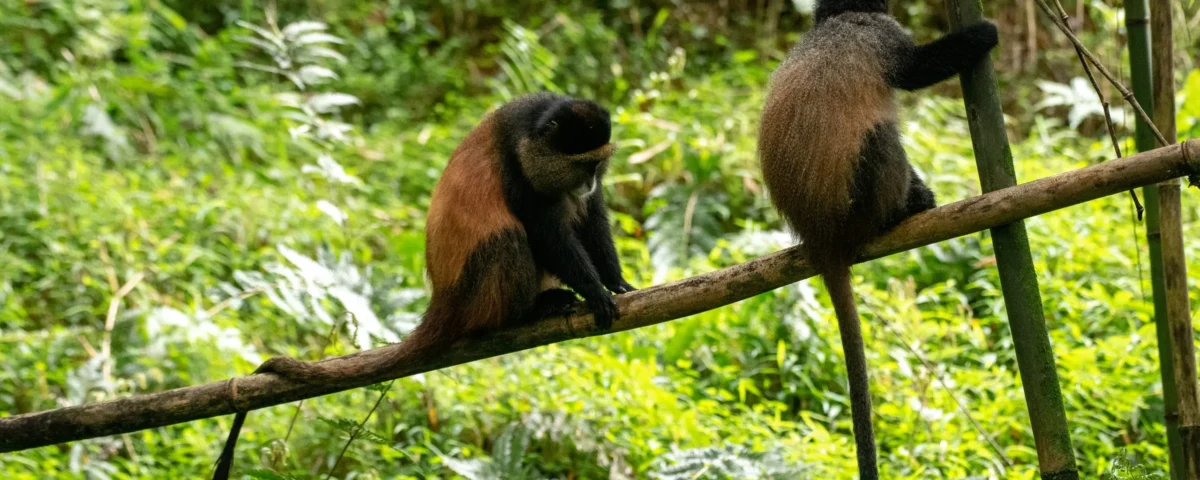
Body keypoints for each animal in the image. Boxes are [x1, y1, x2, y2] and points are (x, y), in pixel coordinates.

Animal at [212, 92, 635, 480]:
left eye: (598, 164)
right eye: (581, 164)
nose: (590, 182)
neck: (533, 131)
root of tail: (443, 299)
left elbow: (592, 217)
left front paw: (617, 284)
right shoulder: (522, 176)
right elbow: (547, 232)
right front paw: (594, 292)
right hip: (478, 289)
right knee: (507, 238)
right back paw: (526, 313)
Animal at [756, 1, 997, 478]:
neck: (840, 19)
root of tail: (820, 236)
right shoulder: (882, 34)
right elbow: (917, 69)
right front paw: (983, 34)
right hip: (862, 204)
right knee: (881, 134)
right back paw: (907, 209)